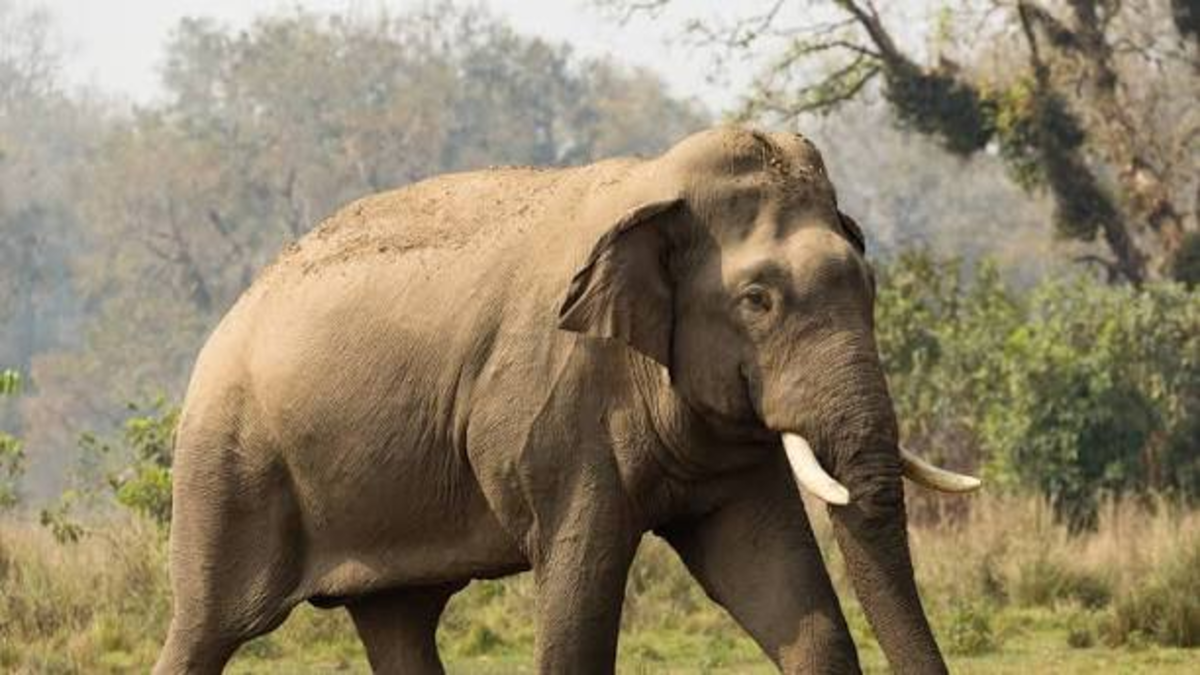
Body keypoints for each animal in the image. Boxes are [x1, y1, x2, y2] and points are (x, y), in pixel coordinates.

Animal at [153, 125, 980, 674]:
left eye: (869, 284)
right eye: (758, 300)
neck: (655, 184)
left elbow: (785, 594)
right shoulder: (554, 415)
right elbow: (579, 606)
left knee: (399, 618)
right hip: (229, 467)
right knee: (207, 627)